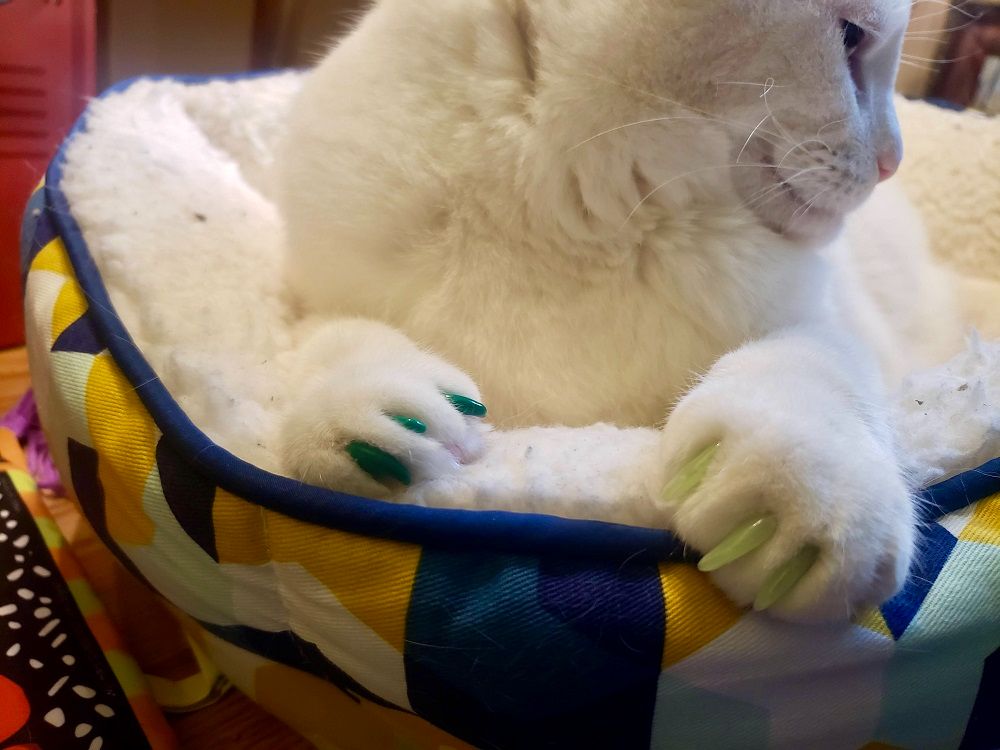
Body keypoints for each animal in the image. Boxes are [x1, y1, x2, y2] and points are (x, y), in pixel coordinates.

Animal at [274, 0, 960, 624]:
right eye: (851, 36)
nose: (890, 160)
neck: (574, 216)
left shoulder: (838, 324)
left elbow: (811, 361)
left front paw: (804, 479)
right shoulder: (314, 295)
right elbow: (338, 337)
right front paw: (366, 416)